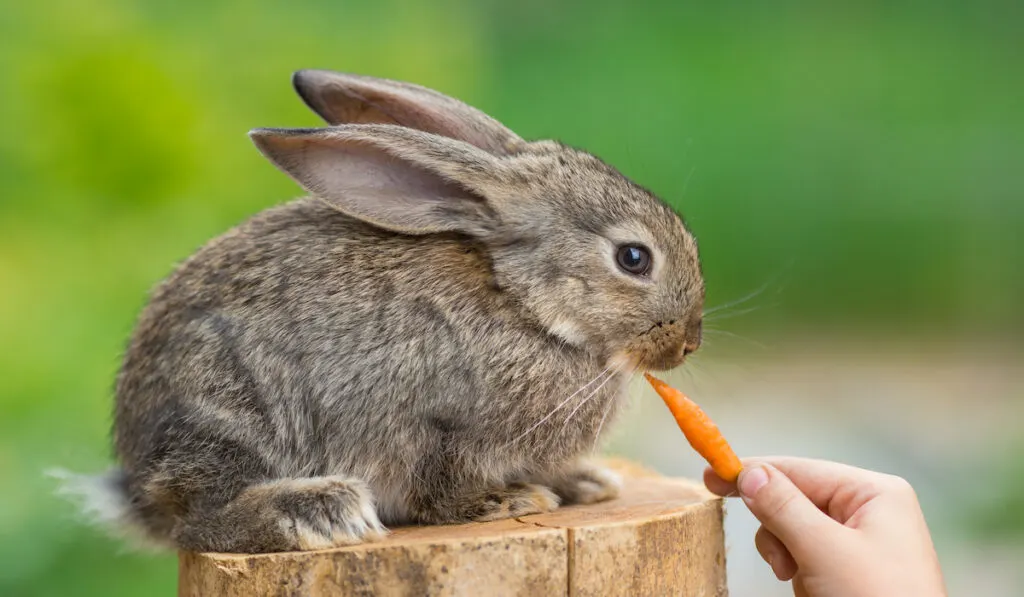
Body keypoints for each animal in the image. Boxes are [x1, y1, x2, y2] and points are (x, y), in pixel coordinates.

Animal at [77, 71, 704, 557]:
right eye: (633, 258)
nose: (688, 342)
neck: (524, 303)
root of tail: (136, 486)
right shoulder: (433, 426)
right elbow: (441, 488)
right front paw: (508, 500)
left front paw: (586, 482)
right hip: (230, 409)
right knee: (199, 522)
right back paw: (319, 510)